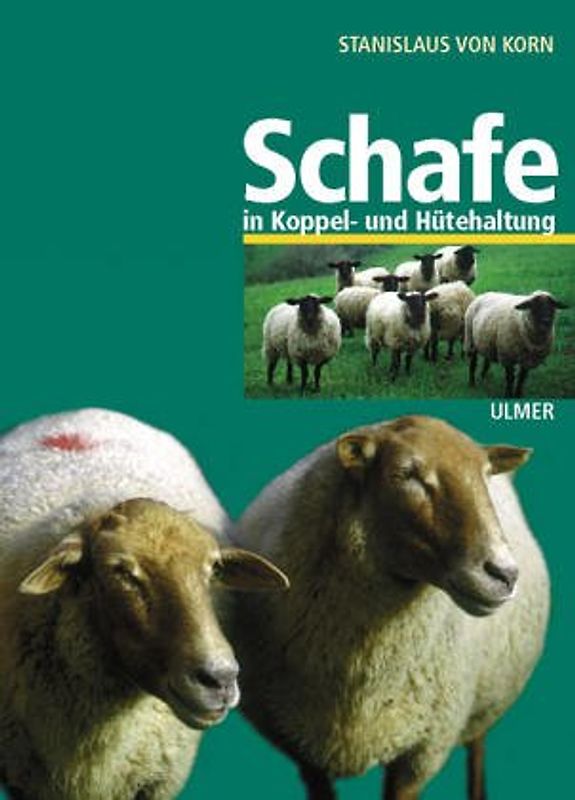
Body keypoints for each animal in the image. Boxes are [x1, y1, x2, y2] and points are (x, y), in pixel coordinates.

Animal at [229, 415, 549, 800]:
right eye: (406, 473)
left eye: (486, 474)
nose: (504, 573)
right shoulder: (304, 747)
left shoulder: (421, 751)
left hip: (484, 704)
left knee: (477, 750)